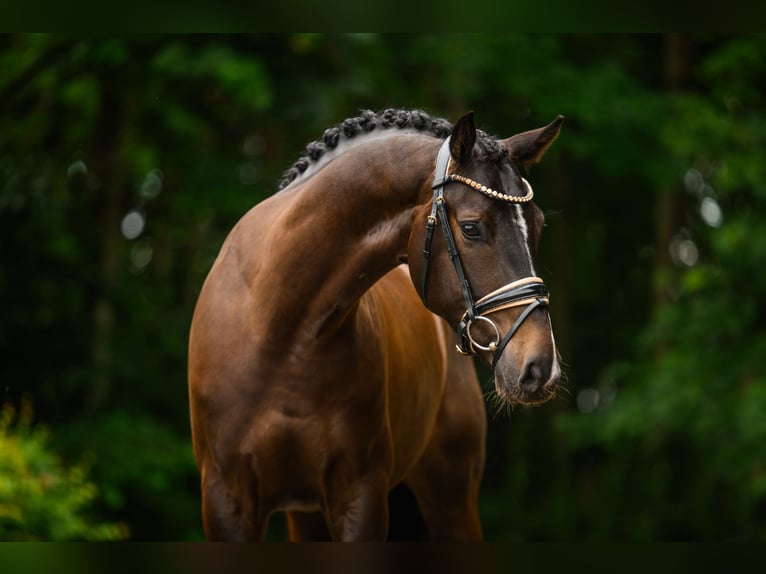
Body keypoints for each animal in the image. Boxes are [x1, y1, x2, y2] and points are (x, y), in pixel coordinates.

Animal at [188, 109, 564, 544]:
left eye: (538, 225)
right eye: (472, 228)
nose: (540, 366)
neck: (282, 332)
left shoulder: (360, 498)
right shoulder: (226, 501)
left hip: (451, 496)